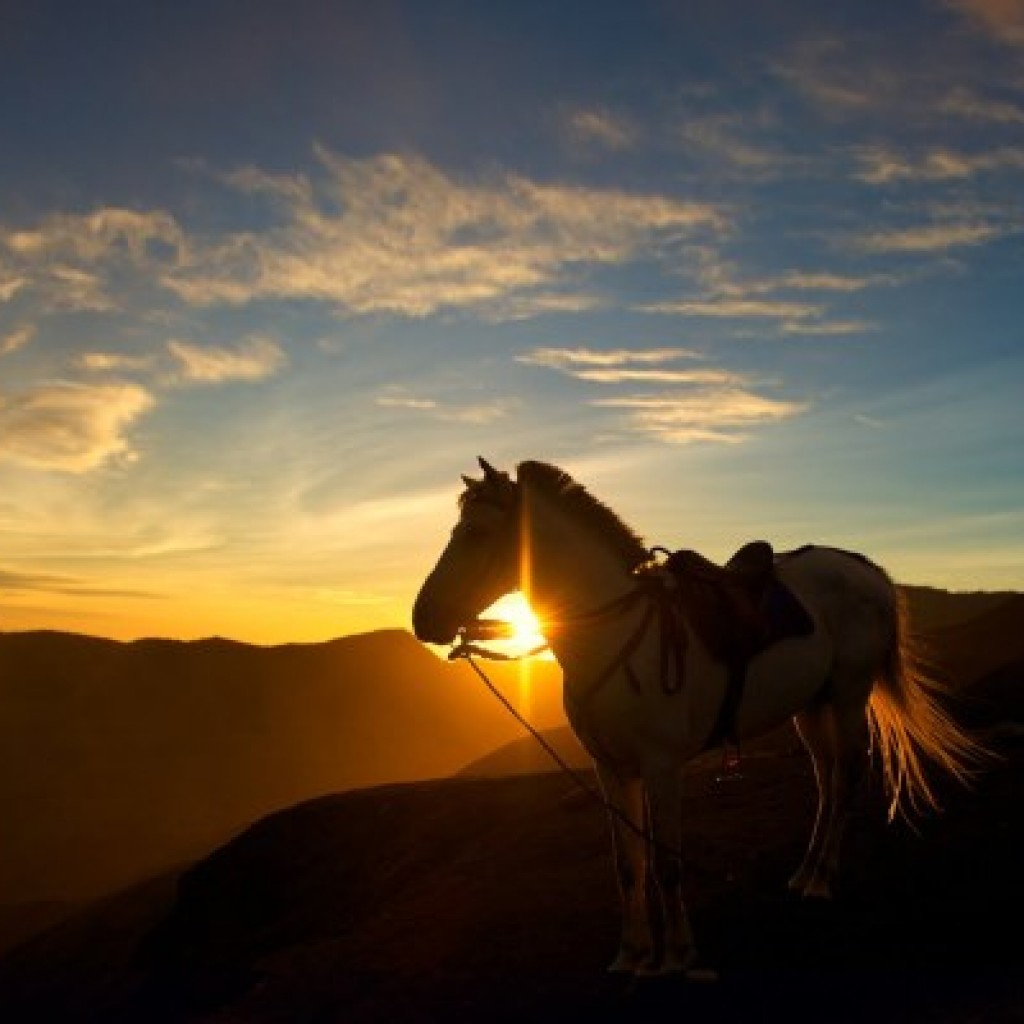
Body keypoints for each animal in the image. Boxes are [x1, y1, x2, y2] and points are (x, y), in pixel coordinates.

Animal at [411, 458, 987, 974]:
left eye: (476, 533)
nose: (422, 618)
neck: (613, 635)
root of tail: (867, 569)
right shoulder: (611, 769)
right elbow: (629, 865)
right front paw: (633, 954)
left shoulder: (662, 767)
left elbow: (666, 864)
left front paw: (680, 954)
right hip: (811, 706)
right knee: (826, 782)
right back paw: (803, 873)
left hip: (847, 697)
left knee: (845, 779)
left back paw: (822, 880)